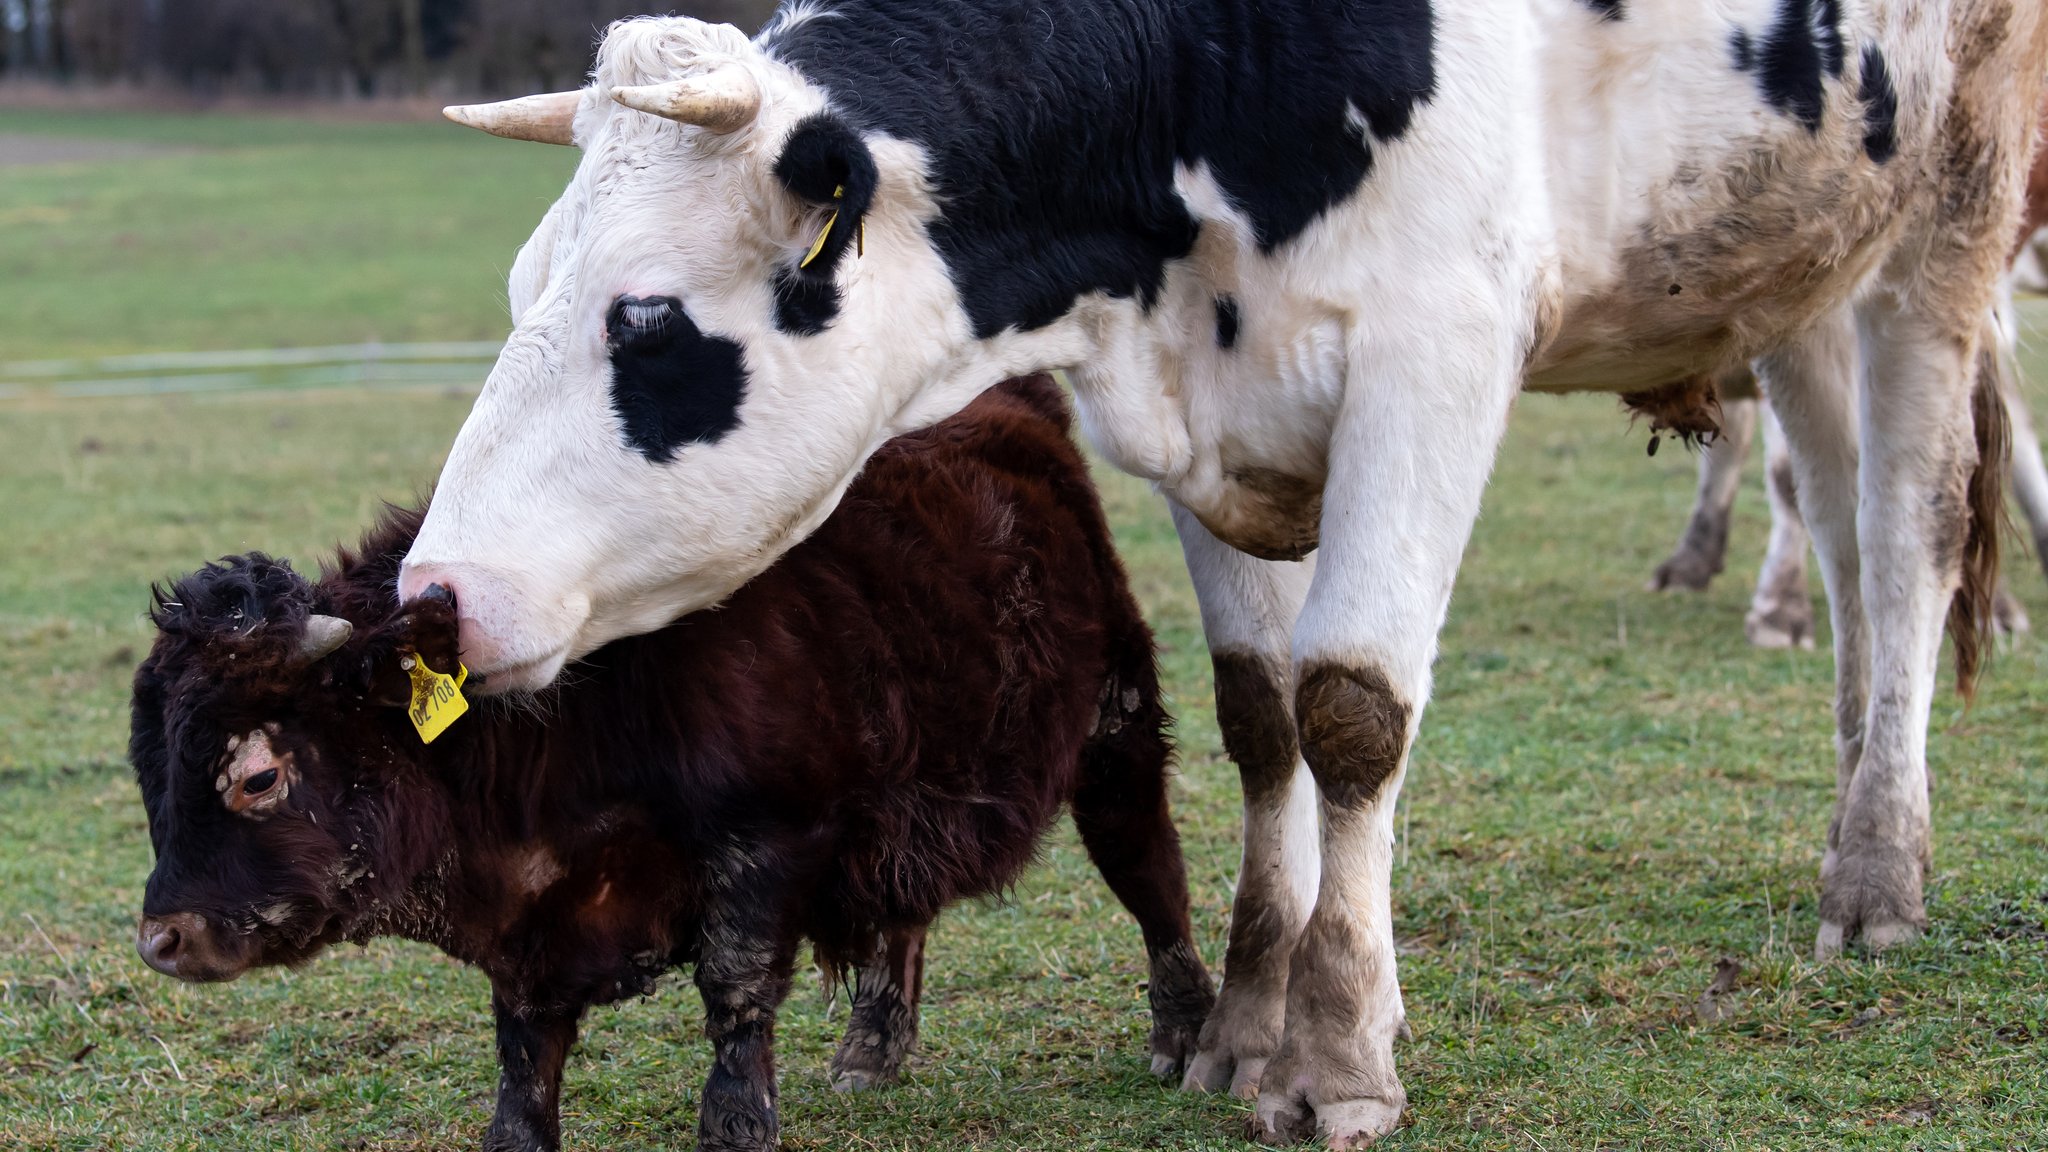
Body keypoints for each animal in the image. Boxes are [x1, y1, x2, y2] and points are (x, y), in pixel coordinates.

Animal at [407, 4, 2039, 1139]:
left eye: (644, 320)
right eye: (520, 287)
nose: (430, 599)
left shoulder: (1432, 360)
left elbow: (1351, 710)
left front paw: (1335, 1054)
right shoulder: (1198, 416)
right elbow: (1260, 715)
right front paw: (1247, 1021)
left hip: (1947, 222)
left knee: (1903, 535)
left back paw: (1878, 867)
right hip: (1802, 262)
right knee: (1829, 515)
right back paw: (1846, 775)